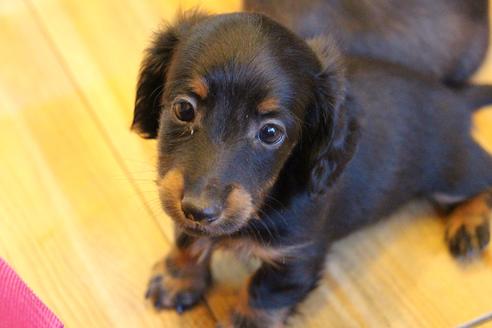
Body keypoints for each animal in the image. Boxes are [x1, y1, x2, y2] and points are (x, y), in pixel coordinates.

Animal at [133, 10, 492, 328]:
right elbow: (188, 241)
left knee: (481, 178)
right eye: (183, 108)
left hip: (452, 171)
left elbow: (262, 295)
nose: (198, 210)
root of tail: (453, 98)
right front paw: (177, 279)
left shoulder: (298, 257)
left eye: (270, 132)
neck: (270, 195)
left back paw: (470, 222)